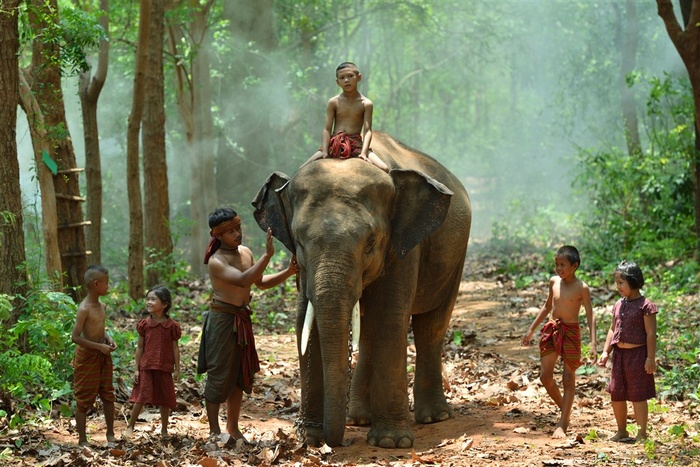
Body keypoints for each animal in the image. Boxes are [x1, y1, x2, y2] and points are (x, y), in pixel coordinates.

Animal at [252, 132, 470, 450]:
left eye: (371, 243)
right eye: (300, 242)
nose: (333, 442)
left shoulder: (404, 248)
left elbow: (390, 318)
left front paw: (391, 442)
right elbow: (305, 322)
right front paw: (309, 438)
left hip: (455, 258)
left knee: (431, 326)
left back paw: (434, 418)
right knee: (368, 331)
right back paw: (358, 418)